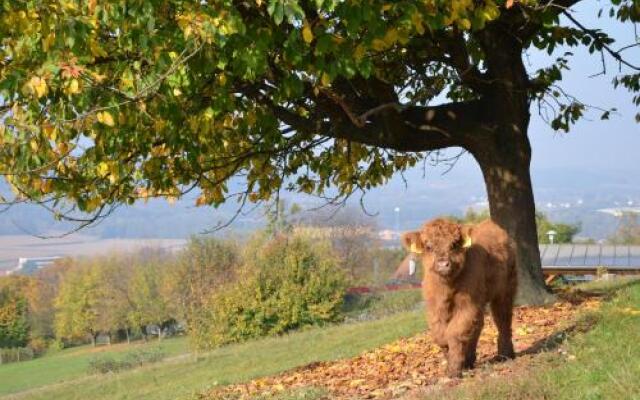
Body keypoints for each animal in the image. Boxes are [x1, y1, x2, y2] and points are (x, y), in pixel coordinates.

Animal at [402, 219, 516, 378]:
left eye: (454, 244)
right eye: (428, 246)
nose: (443, 264)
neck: (446, 287)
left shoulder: (467, 305)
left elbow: (455, 333)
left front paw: (454, 370)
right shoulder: (435, 308)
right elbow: (440, 335)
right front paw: (452, 360)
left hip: (505, 289)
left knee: (503, 318)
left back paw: (505, 354)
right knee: (478, 325)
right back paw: (469, 360)